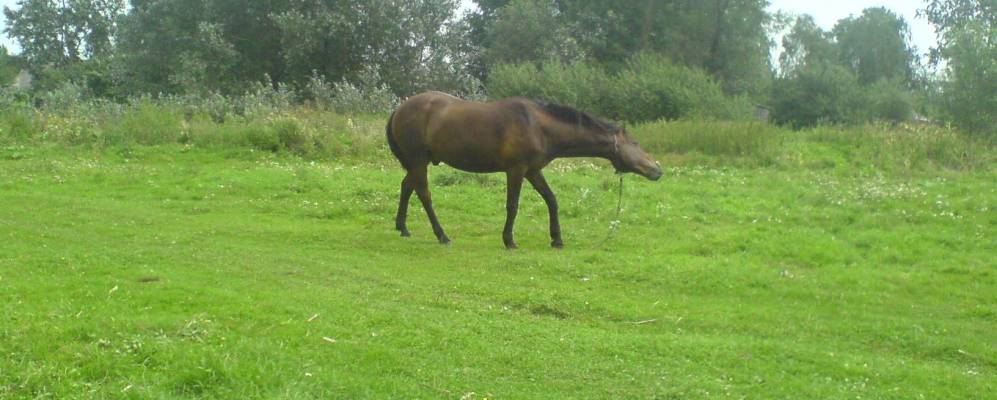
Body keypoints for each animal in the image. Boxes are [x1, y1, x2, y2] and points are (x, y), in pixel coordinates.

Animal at [388, 91, 660, 248]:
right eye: (636, 143)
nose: (657, 169)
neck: (538, 125)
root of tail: (400, 108)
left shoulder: (532, 170)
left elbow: (551, 199)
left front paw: (557, 238)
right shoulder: (516, 170)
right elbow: (513, 205)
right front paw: (509, 240)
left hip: (417, 162)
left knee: (407, 187)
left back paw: (403, 227)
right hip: (418, 160)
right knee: (424, 194)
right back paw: (441, 235)